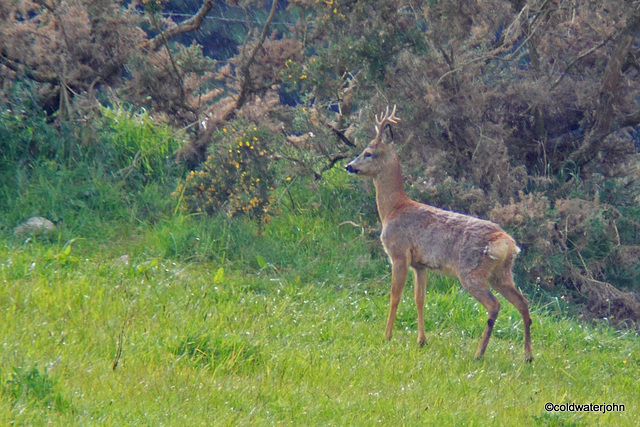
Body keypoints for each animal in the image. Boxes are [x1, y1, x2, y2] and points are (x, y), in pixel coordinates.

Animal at [348, 105, 532, 362]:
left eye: (368, 153)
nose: (349, 166)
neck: (393, 209)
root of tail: (506, 242)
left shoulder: (398, 253)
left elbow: (395, 296)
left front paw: (387, 336)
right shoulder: (420, 264)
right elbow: (419, 299)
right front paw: (421, 340)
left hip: (471, 271)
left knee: (494, 305)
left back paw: (479, 353)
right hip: (501, 273)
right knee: (523, 303)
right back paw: (527, 356)